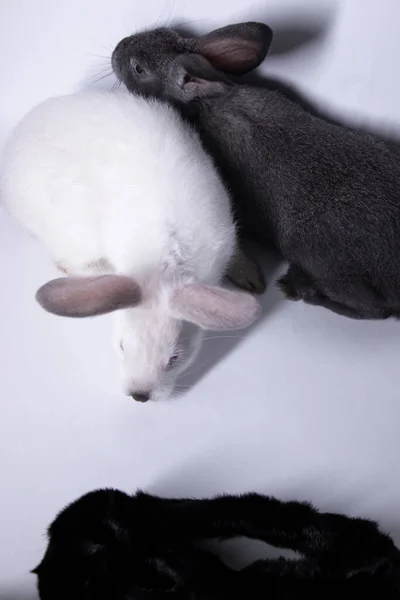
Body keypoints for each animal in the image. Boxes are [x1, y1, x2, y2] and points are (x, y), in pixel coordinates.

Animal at [111, 22, 400, 324]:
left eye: (138, 69)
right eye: (163, 31)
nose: (118, 48)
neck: (207, 102)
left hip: (325, 266)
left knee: (375, 311)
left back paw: (298, 289)